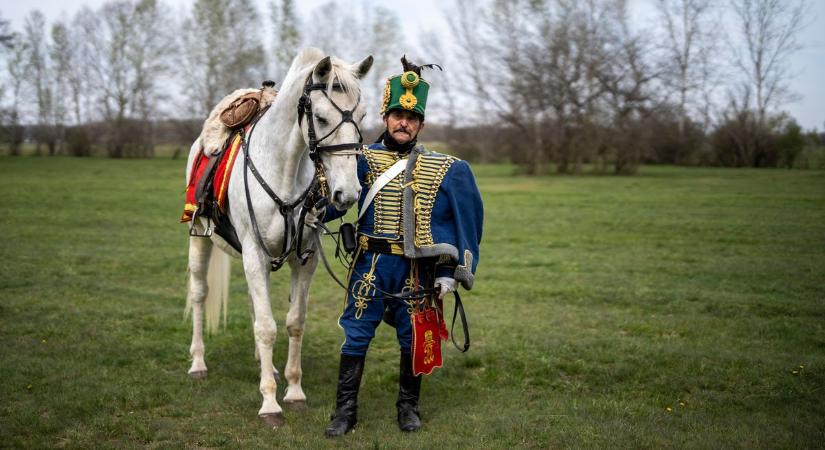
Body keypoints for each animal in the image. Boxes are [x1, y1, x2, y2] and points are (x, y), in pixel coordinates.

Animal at [184, 47, 374, 428]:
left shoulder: (306, 259)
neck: (282, 170)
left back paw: (266, 366)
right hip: (200, 240)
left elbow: (293, 322)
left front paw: (294, 391)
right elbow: (266, 327)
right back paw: (198, 363)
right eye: (320, 116)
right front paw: (270, 403)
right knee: (199, 293)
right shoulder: (254, 255)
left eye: (361, 114)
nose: (347, 193)